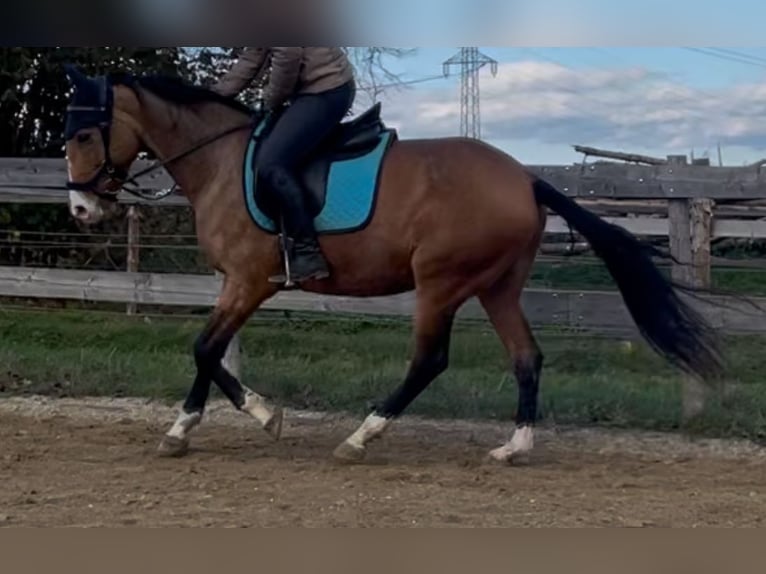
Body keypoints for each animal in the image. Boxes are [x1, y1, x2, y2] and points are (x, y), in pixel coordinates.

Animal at [61, 64, 723, 465]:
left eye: (87, 135)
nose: (81, 208)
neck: (221, 161)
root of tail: (524, 177)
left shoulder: (250, 281)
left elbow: (204, 348)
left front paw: (239, 420)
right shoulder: (238, 285)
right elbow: (210, 351)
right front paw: (216, 422)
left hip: (441, 283)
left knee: (429, 360)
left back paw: (362, 436)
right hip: (498, 287)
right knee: (526, 358)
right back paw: (513, 448)